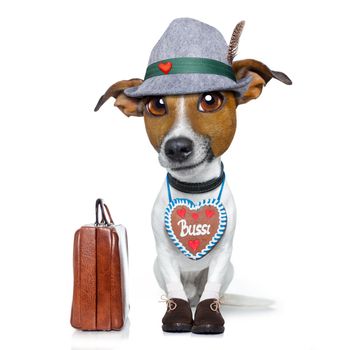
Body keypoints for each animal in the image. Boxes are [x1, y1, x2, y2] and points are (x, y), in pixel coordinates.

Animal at [94, 18, 292, 334]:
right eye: (156, 105)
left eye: (210, 100)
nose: (176, 147)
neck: (195, 189)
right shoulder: (163, 252)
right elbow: (174, 287)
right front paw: (176, 314)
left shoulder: (224, 254)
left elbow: (213, 284)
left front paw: (209, 316)